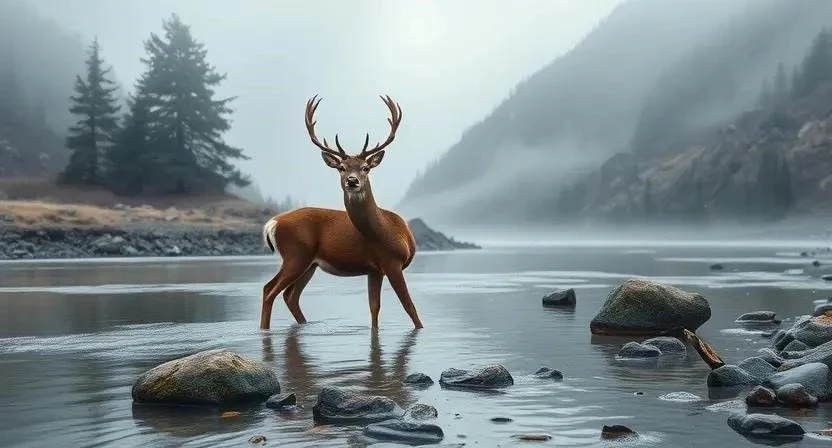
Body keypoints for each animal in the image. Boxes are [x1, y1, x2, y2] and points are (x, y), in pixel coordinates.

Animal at [259, 94, 424, 331]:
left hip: (309, 263)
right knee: (269, 290)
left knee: (290, 295)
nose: (352, 181)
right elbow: (410, 307)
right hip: (295, 253)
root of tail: (272, 223)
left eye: (366, 167)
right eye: (341, 168)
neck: (388, 231)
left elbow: (374, 309)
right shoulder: (392, 263)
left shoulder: (375, 269)